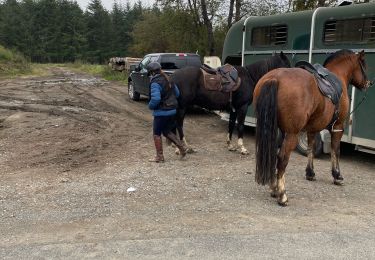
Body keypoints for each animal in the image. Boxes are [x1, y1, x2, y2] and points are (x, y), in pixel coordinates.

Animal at [254, 49, 372, 206]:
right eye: (363, 64)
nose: (368, 83)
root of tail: (274, 78)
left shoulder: (312, 129)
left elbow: (310, 148)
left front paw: (310, 173)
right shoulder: (338, 127)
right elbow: (336, 150)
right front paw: (337, 175)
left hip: (275, 130)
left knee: (273, 155)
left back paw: (274, 188)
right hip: (292, 133)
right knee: (282, 158)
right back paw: (282, 194)